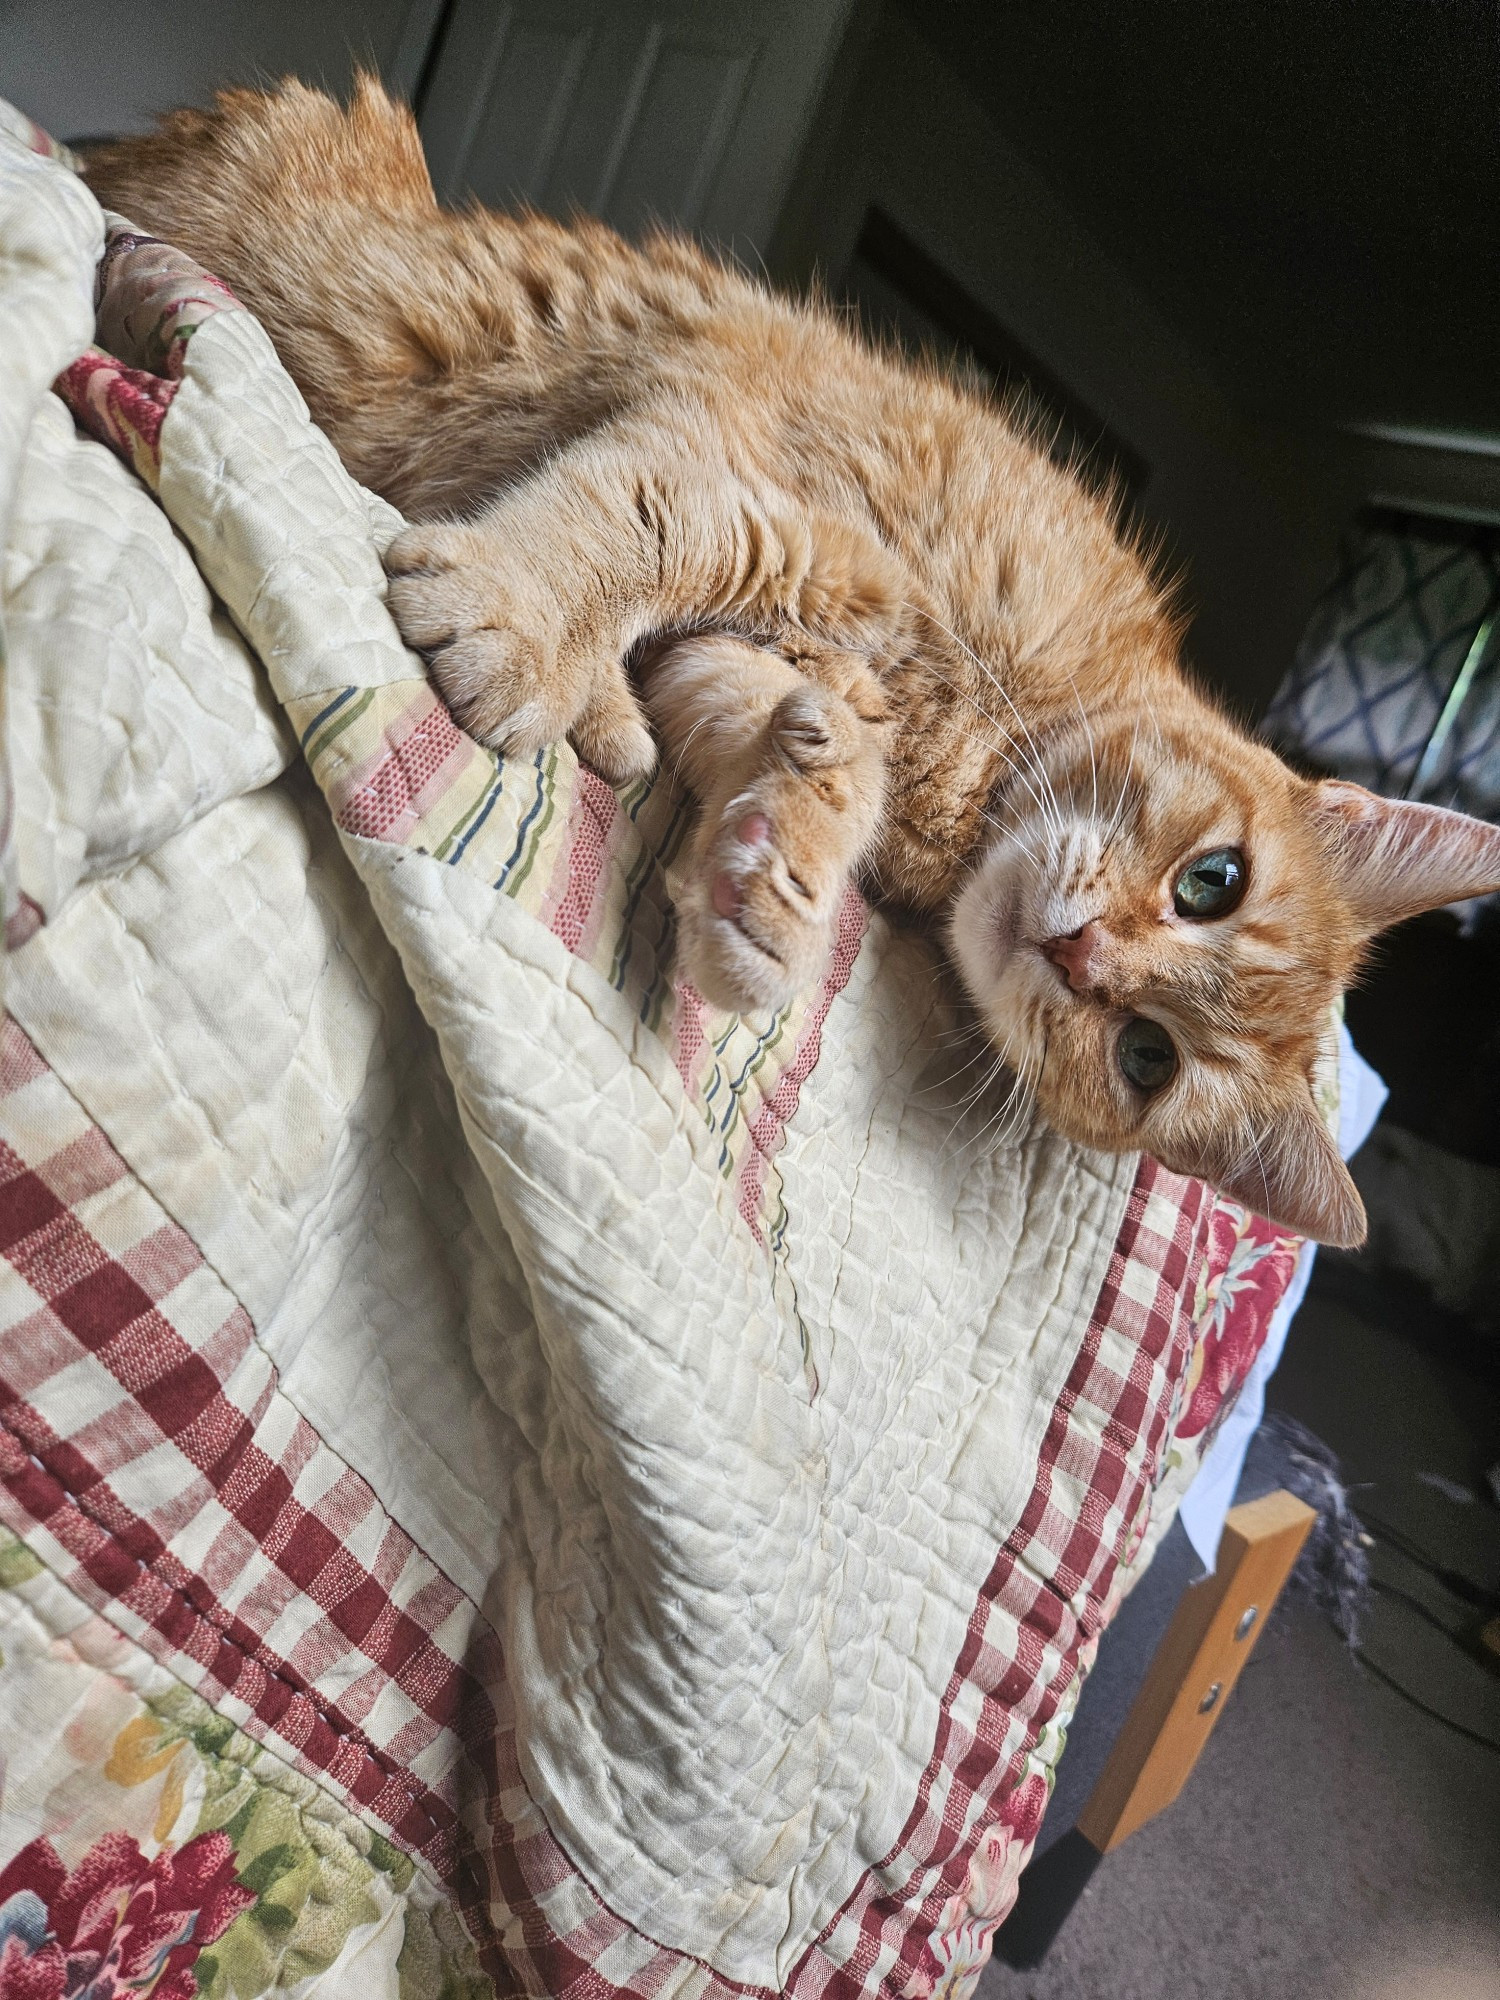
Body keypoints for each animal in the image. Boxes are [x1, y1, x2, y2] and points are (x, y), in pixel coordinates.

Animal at [85, 82, 1500, 1248]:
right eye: (1215, 879)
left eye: (1146, 1057)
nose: (1085, 953)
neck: (982, 746)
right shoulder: (753, 471)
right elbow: (645, 521)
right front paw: (525, 623)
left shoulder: (766, 640)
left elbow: (777, 728)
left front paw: (779, 879)